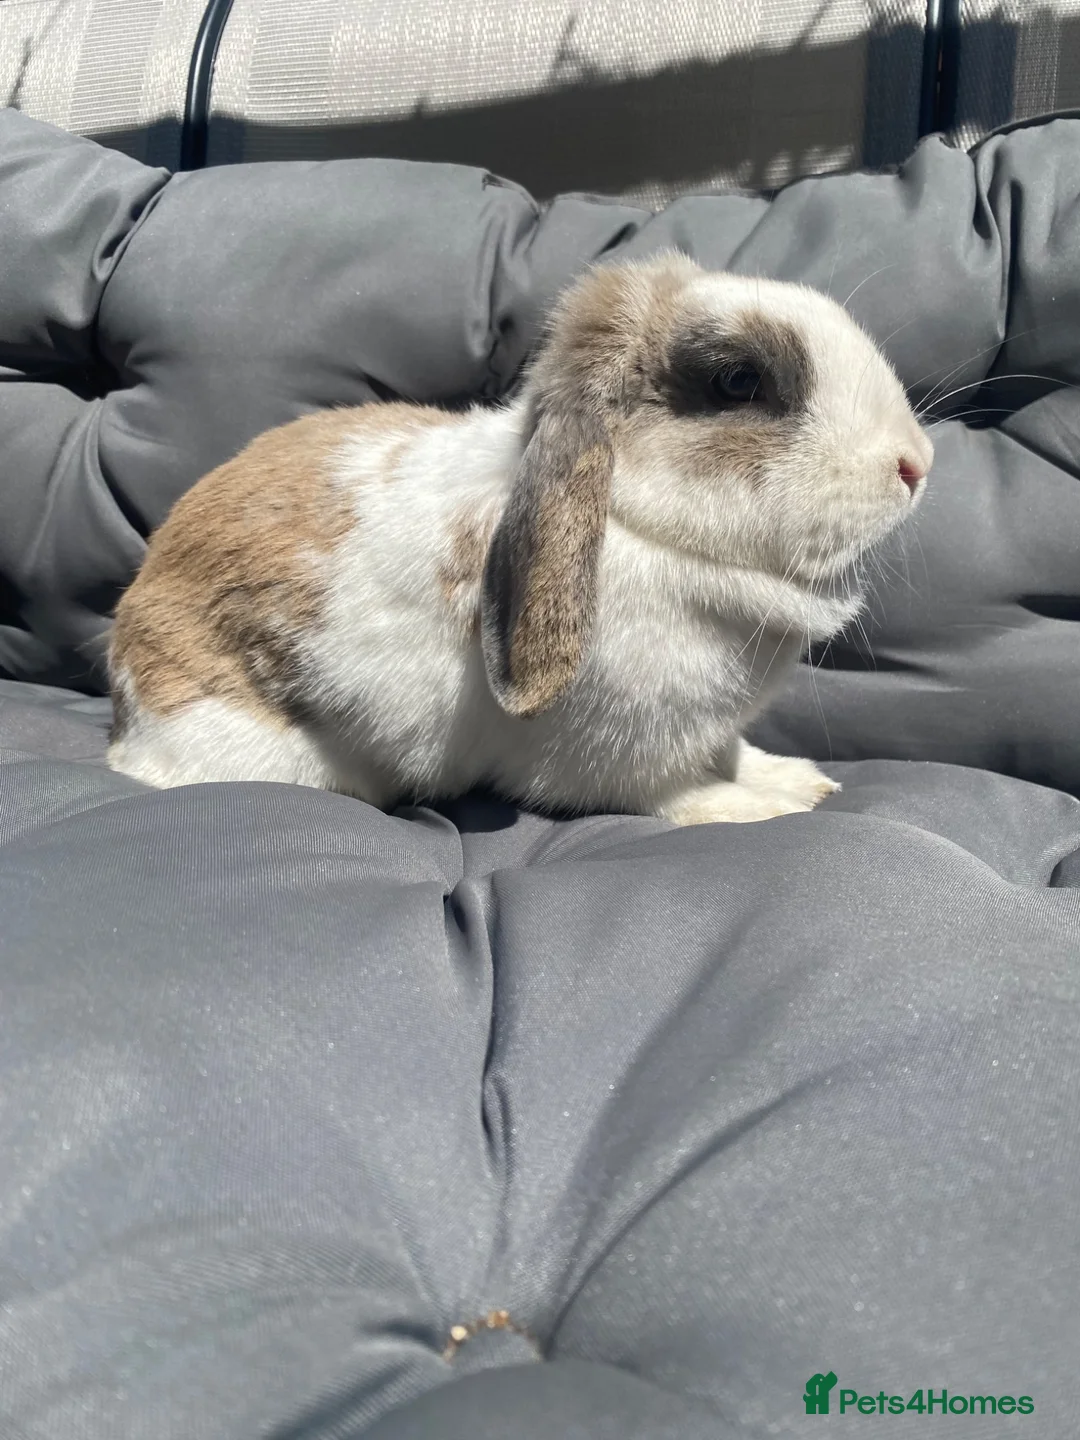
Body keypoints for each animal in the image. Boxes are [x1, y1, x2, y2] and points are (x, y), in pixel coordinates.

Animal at [107, 252, 932, 825]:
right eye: (738, 381)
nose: (916, 463)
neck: (639, 527)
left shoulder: (711, 731)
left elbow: (736, 752)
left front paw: (797, 779)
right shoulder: (630, 759)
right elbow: (677, 794)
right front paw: (757, 808)